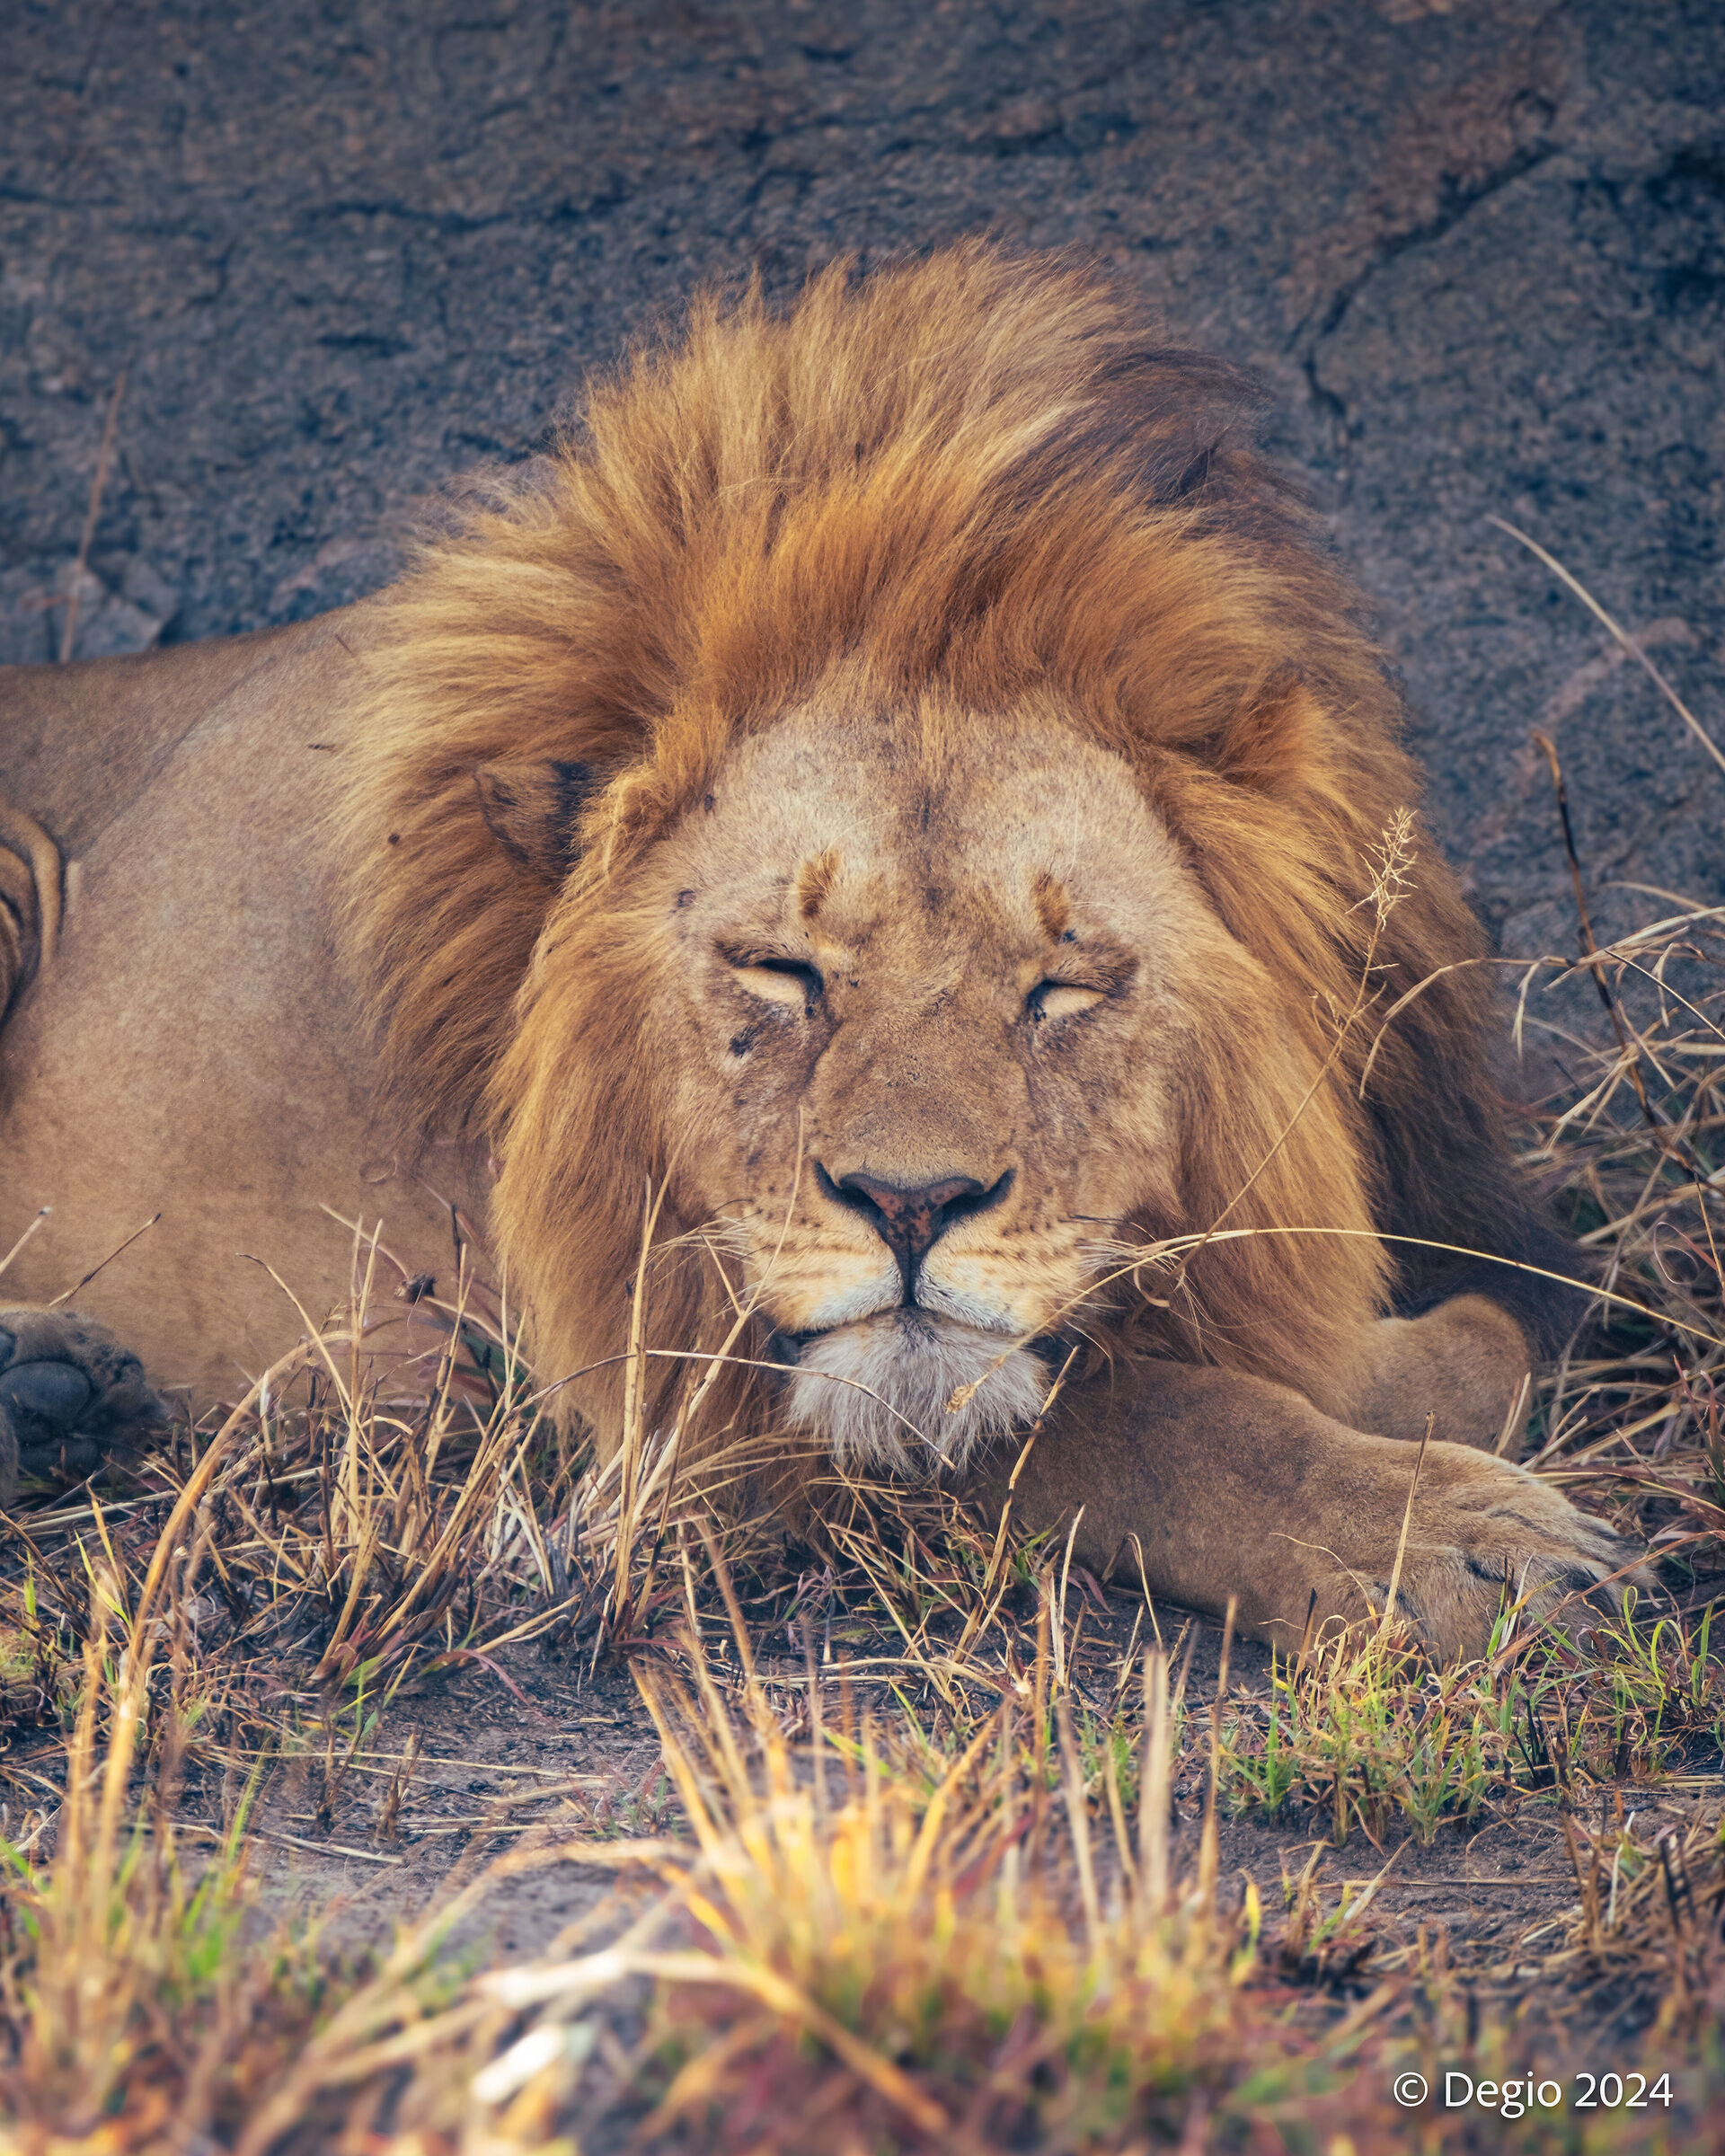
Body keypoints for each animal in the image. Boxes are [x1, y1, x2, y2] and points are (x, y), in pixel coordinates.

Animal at [0, 243, 1638, 1655]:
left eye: (1058, 988)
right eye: (781, 972)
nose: (910, 1206)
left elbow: (1458, 1328)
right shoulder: (659, 1392)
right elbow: (1150, 1416)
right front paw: (1441, 1535)